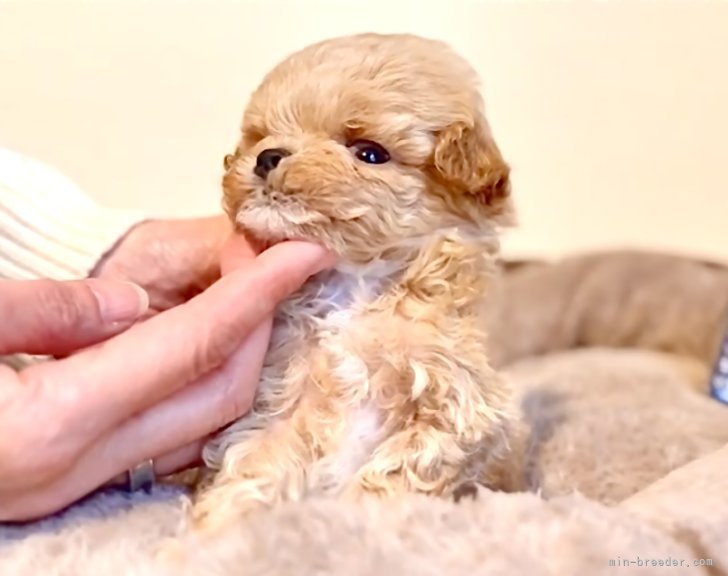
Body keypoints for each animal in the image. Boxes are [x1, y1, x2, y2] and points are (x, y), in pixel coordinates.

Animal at [191, 33, 520, 532]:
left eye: (369, 153)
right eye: (261, 136)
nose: (268, 156)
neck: (353, 289)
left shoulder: (457, 407)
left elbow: (396, 471)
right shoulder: (279, 403)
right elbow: (255, 466)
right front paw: (211, 534)